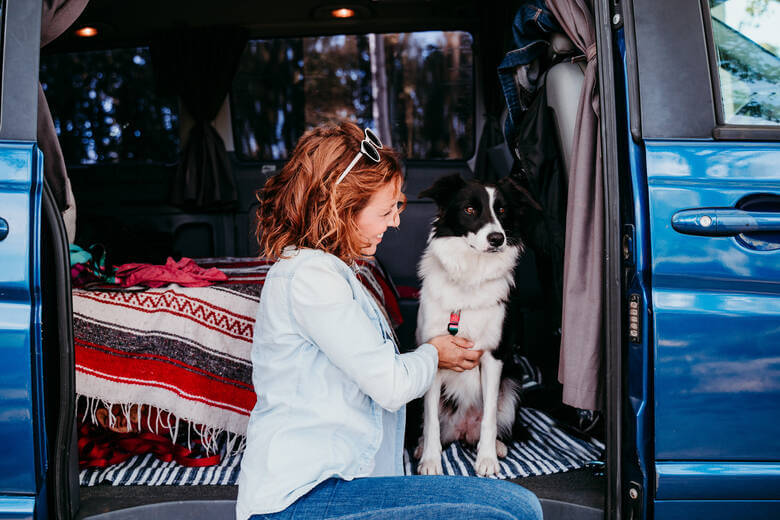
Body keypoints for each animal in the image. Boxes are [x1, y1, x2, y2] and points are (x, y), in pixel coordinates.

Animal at [414, 174, 536, 476]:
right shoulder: (434, 352)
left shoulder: (494, 356)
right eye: (470, 209)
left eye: (502, 210)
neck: (470, 275)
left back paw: (498, 446)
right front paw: (431, 460)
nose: (497, 238)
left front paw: (487, 458)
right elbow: (430, 418)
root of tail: (461, 431)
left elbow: (490, 416)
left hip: (513, 382)